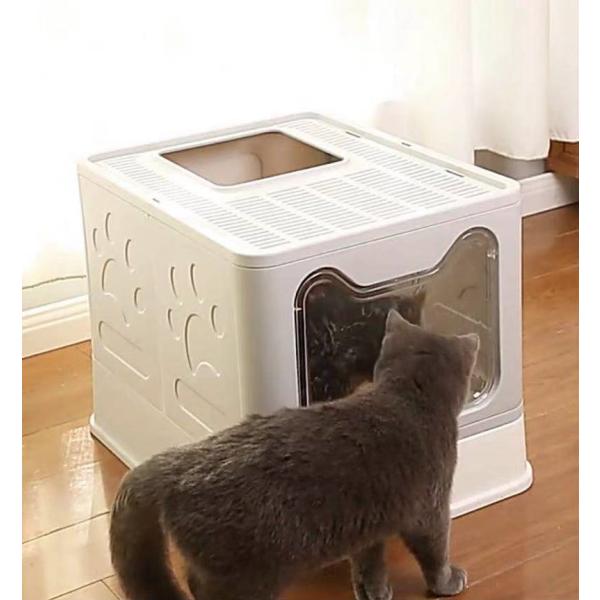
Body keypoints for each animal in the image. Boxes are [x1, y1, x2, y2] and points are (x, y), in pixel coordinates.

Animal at [110, 310, 479, 600]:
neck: (406, 398)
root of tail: (177, 462)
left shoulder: (370, 526)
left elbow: (368, 563)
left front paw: (374, 592)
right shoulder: (430, 506)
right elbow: (435, 551)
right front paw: (449, 581)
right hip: (244, 573)